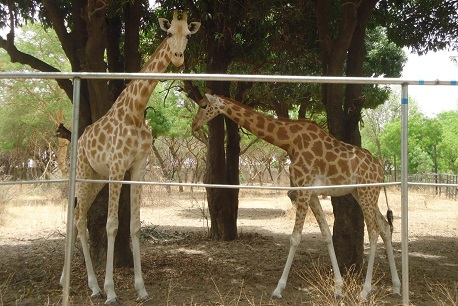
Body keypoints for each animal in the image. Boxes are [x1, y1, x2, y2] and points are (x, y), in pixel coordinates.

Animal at [60, 11, 199, 304]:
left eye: (188, 36)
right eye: (169, 33)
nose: (178, 57)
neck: (136, 110)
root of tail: (78, 141)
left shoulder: (138, 167)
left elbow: (134, 225)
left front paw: (141, 289)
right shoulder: (117, 166)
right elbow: (112, 225)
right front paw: (112, 291)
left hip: (97, 179)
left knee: (78, 216)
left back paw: (81, 283)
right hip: (84, 173)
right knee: (78, 218)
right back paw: (89, 285)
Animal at [191, 94, 398, 300]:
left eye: (204, 105)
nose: (194, 125)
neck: (289, 140)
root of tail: (381, 170)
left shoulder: (304, 188)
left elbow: (295, 238)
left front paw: (278, 289)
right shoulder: (311, 193)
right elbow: (326, 234)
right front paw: (338, 288)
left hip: (367, 191)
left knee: (373, 231)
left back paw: (365, 291)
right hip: (362, 193)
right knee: (384, 227)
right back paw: (396, 287)